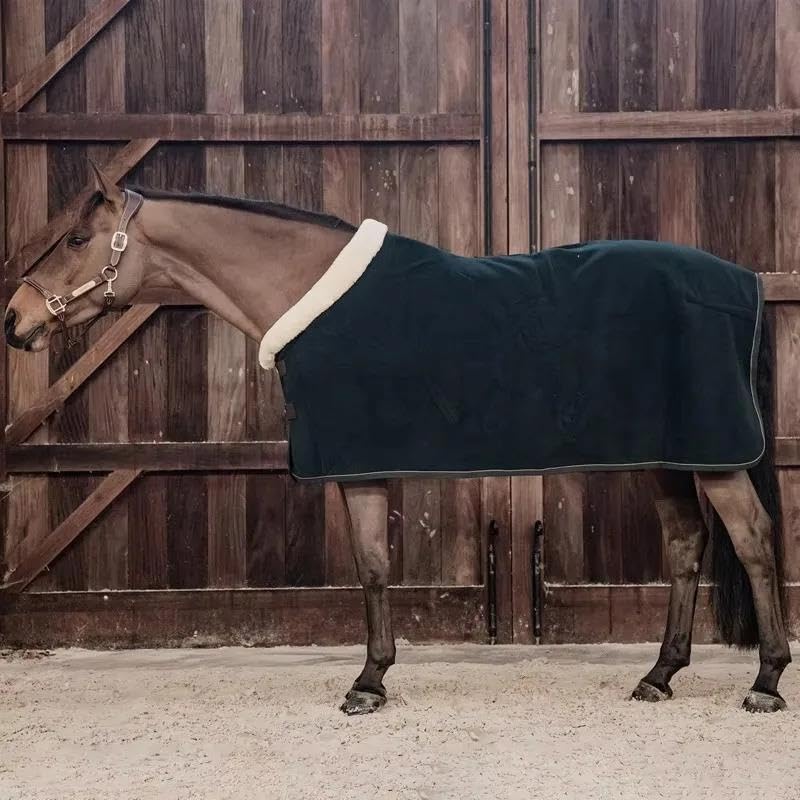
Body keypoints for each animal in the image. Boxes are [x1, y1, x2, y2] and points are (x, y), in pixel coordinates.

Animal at [4, 162, 791, 714]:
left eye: (76, 239)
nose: (15, 319)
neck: (310, 292)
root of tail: (743, 280)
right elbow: (375, 567)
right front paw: (376, 676)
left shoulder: (358, 466)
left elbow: (373, 568)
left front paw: (367, 683)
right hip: (670, 455)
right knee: (687, 544)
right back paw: (659, 676)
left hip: (714, 459)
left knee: (754, 541)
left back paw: (766, 681)